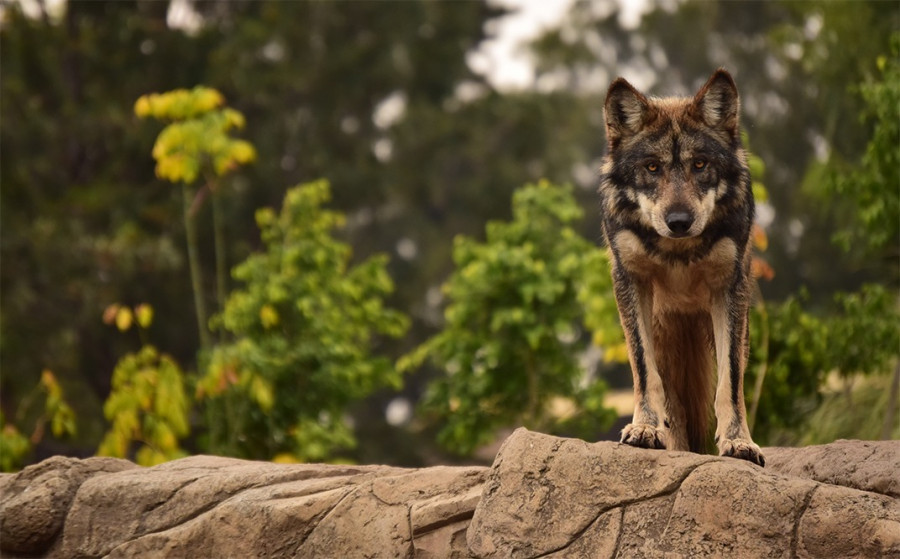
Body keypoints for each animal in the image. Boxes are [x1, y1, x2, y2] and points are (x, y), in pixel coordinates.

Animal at [600, 68, 764, 466]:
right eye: (652, 167)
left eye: (700, 164)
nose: (678, 222)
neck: (678, 251)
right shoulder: (630, 282)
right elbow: (644, 371)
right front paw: (644, 428)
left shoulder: (730, 289)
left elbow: (731, 381)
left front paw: (739, 442)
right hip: (664, 335)